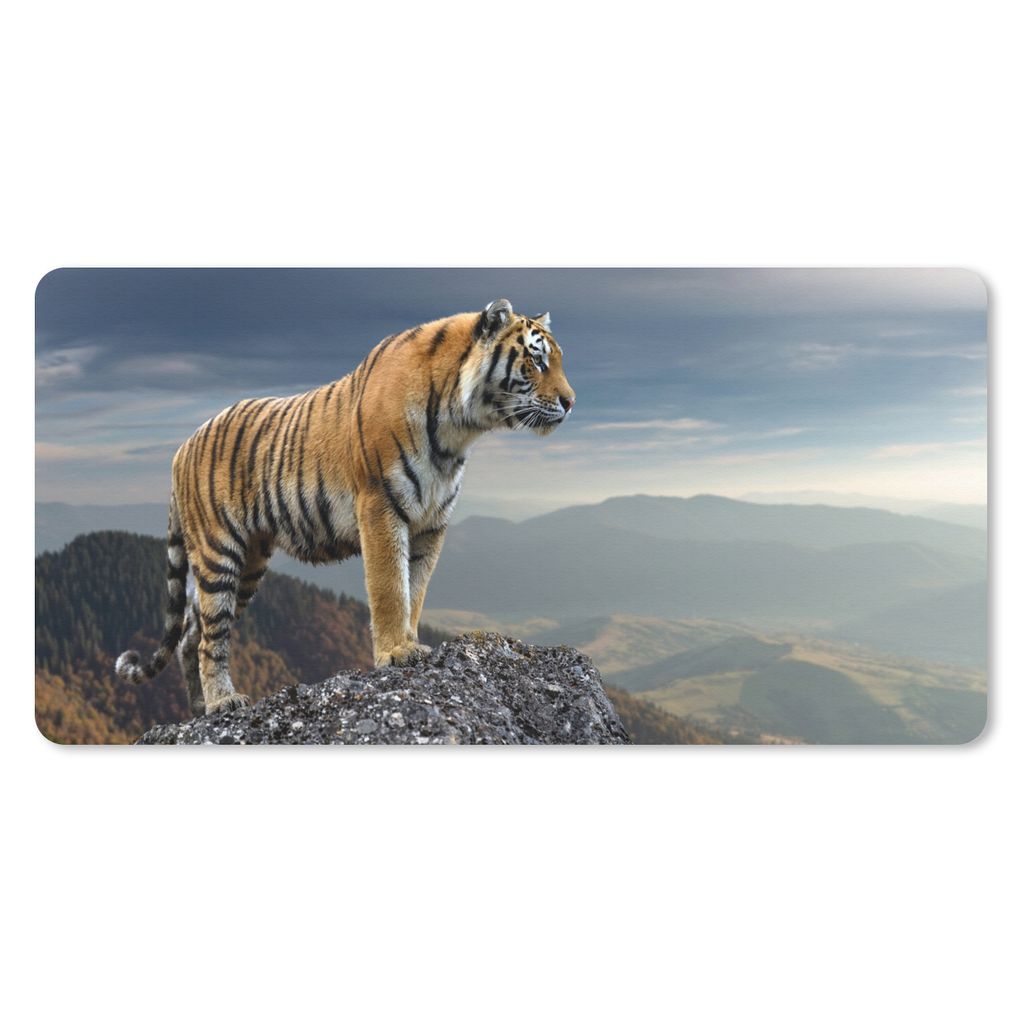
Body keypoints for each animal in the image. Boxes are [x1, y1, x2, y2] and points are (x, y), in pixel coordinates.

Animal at [115, 298, 576, 716]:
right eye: (536, 361)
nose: (571, 402)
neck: (458, 430)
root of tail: (181, 448)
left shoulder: (431, 524)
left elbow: (415, 590)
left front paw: (410, 642)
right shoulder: (381, 506)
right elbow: (390, 587)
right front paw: (396, 653)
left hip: (249, 563)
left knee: (191, 634)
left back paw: (198, 708)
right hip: (219, 553)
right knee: (210, 638)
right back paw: (222, 702)